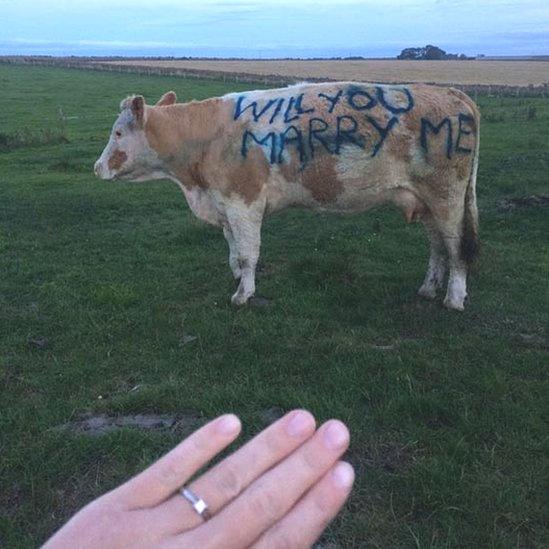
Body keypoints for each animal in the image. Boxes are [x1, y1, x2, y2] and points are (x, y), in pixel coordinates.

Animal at [94, 83, 480, 310]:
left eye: (118, 132)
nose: (97, 167)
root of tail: (453, 94)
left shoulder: (243, 201)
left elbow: (247, 253)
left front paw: (243, 294)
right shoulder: (224, 205)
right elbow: (233, 251)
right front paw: (237, 278)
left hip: (447, 197)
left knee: (455, 246)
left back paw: (453, 298)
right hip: (425, 200)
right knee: (437, 246)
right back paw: (428, 289)